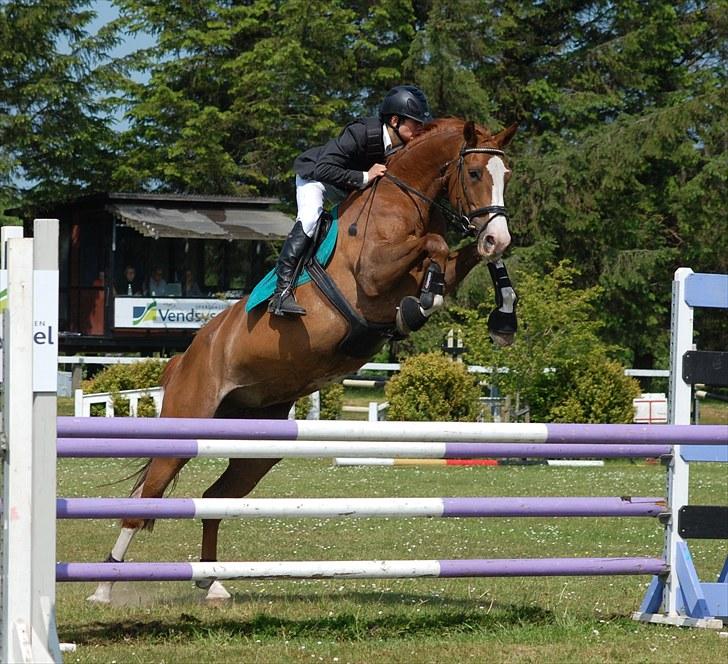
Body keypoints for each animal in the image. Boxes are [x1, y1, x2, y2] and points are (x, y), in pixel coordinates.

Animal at [89, 116, 516, 604]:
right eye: (475, 173)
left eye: (507, 175)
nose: (497, 233)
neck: (405, 197)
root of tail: (187, 356)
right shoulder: (374, 275)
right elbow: (435, 244)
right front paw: (423, 304)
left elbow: (456, 255)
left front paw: (499, 312)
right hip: (187, 422)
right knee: (146, 498)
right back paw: (103, 586)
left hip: (258, 446)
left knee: (214, 499)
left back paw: (212, 582)